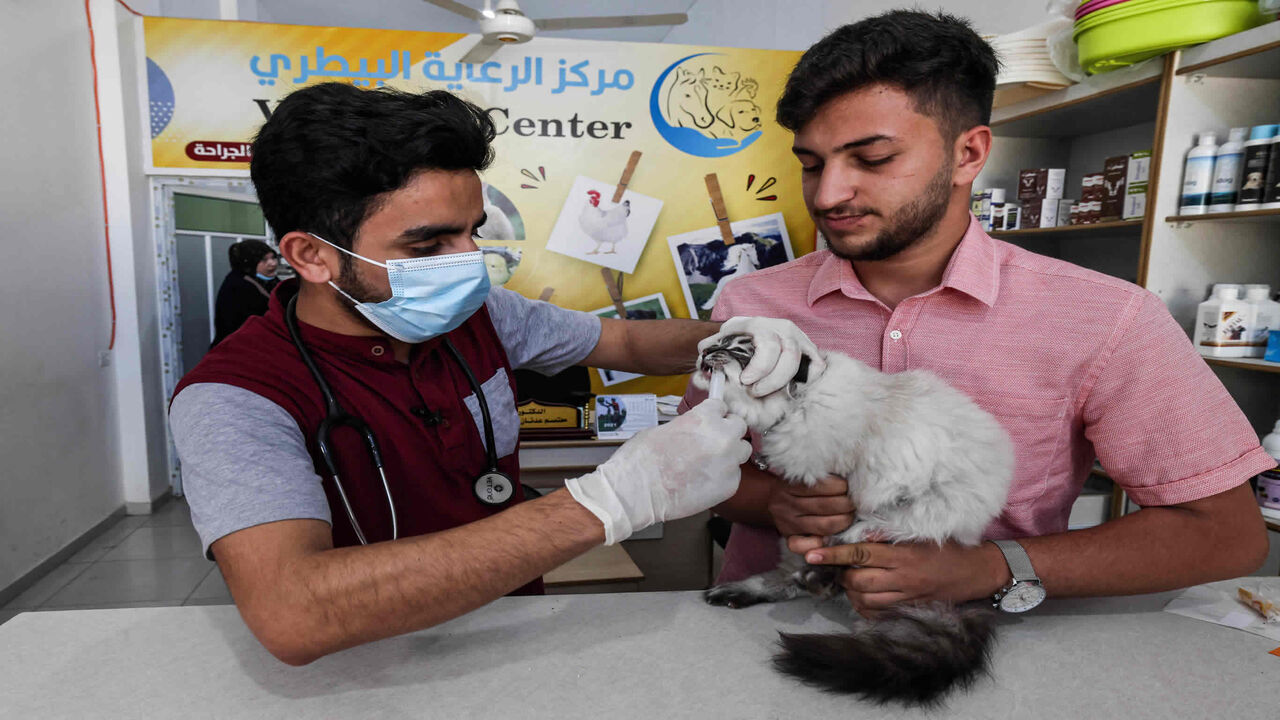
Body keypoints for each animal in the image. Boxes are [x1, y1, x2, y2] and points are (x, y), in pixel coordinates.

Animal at [696, 333, 1013, 702]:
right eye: (717, 341)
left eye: (736, 349)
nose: (705, 350)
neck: (800, 404)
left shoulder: (845, 475)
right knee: (789, 579)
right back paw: (739, 591)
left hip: (920, 513)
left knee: (856, 546)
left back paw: (827, 571)